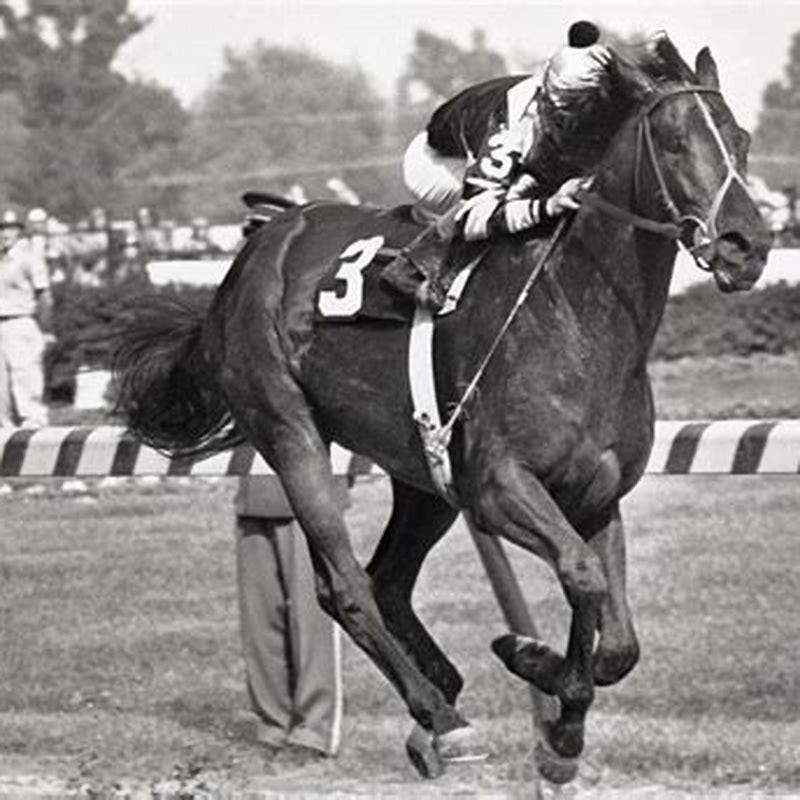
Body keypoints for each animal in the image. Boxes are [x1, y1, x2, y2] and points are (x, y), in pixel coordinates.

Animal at [112, 38, 771, 781]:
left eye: (742, 139)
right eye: (675, 141)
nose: (748, 244)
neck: (579, 318)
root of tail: (256, 247)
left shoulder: (596, 495)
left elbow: (612, 629)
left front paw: (556, 715)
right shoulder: (498, 487)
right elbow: (582, 577)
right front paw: (535, 667)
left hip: (423, 478)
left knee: (389, 581)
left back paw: (444, 692)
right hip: (289, 430)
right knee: (347, 585)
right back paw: (441, 715)